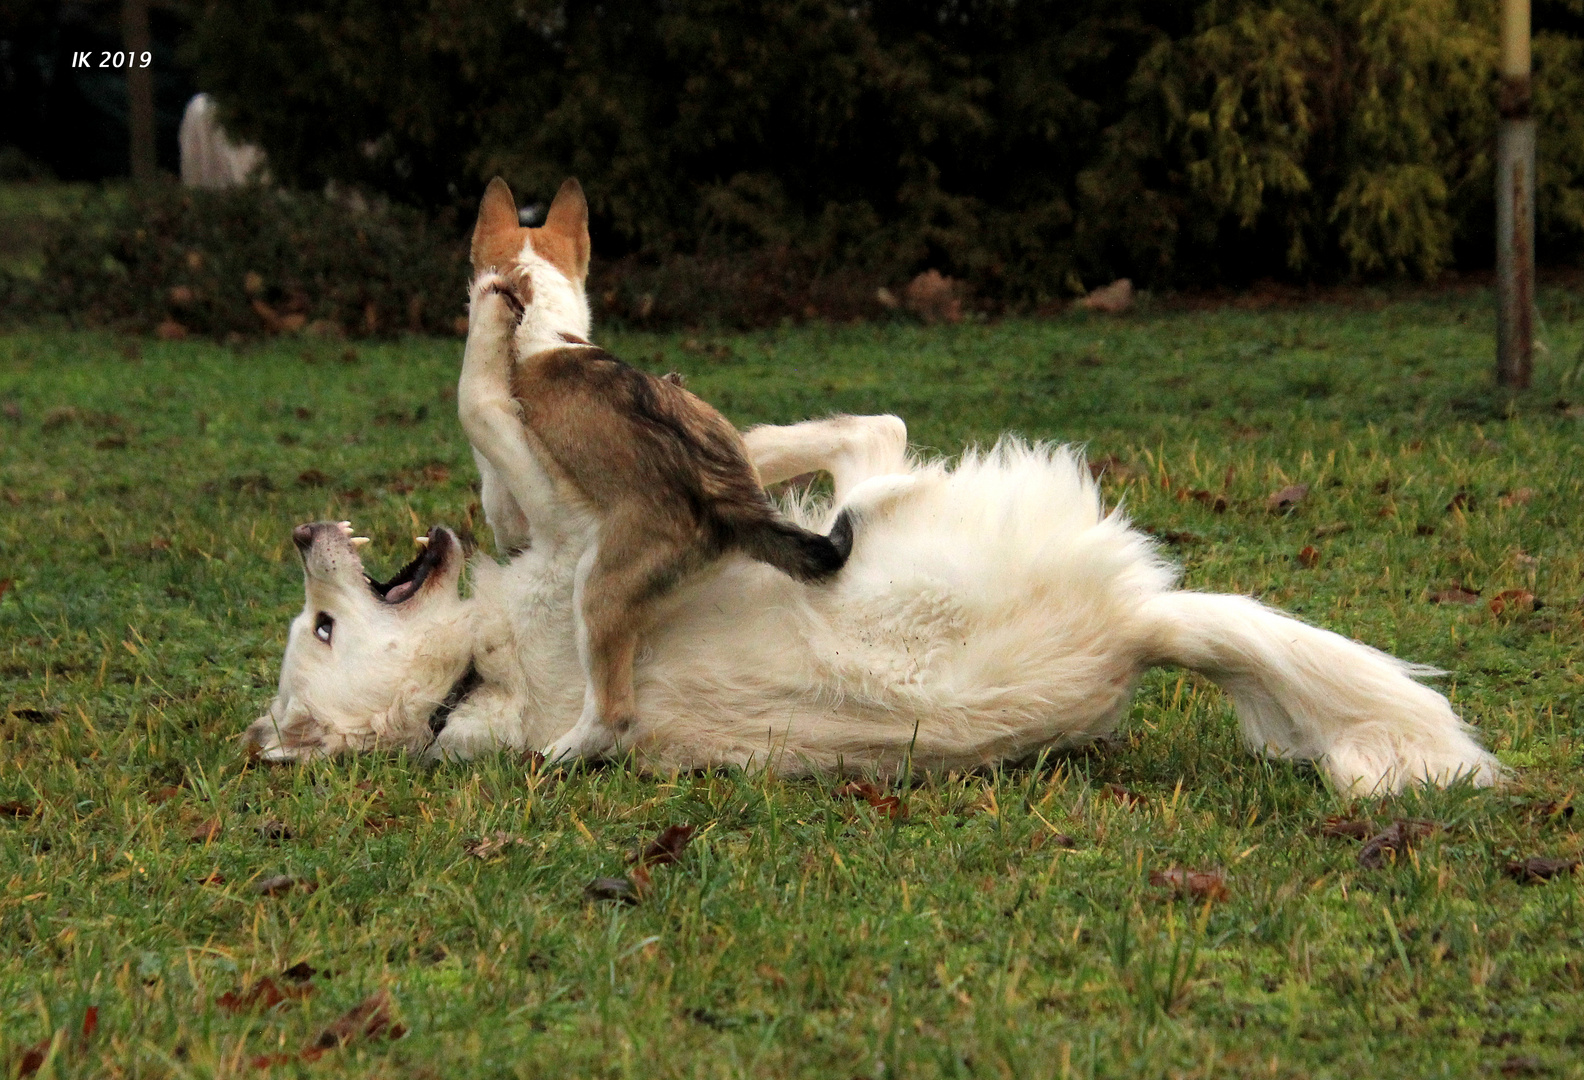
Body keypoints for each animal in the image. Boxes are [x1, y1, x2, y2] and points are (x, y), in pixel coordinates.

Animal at [253, 408, 1501, 791]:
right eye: (323, 625)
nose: (305, 534)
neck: (469, 681)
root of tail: (1135, 629)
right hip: (889, 514)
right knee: (871, 445)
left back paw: (742, 443)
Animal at [459, 176, 855, 760]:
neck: (544, 324)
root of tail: (730, 502)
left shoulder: (505, 499)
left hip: (596, 588)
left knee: (613, 714)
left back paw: (557, 754)